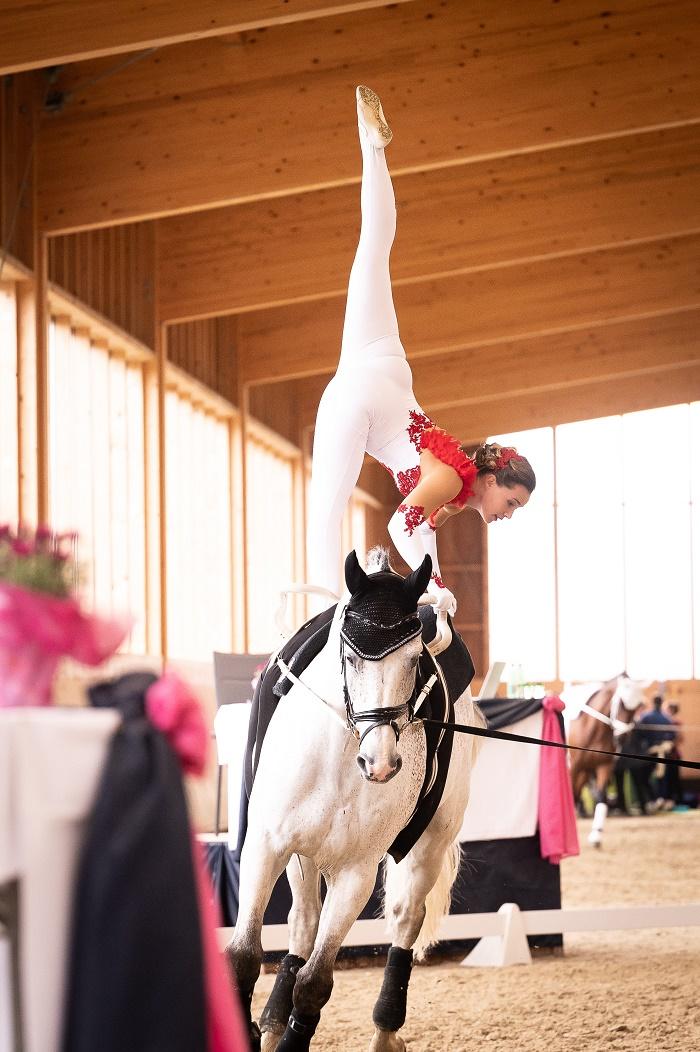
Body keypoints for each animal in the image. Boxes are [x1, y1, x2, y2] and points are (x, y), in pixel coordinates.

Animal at [226, 551, 484, 1052]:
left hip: (431, 841)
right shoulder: (266, 847)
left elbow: (315, 984)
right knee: (303, 921)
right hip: (300, 855)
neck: (339, 757)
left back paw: (385, 1029)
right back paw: (271, 1020)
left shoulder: (355, 872)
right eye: (349, 656)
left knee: (406, 919)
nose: (379, 763)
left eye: (414, 660)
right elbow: (245, 956)